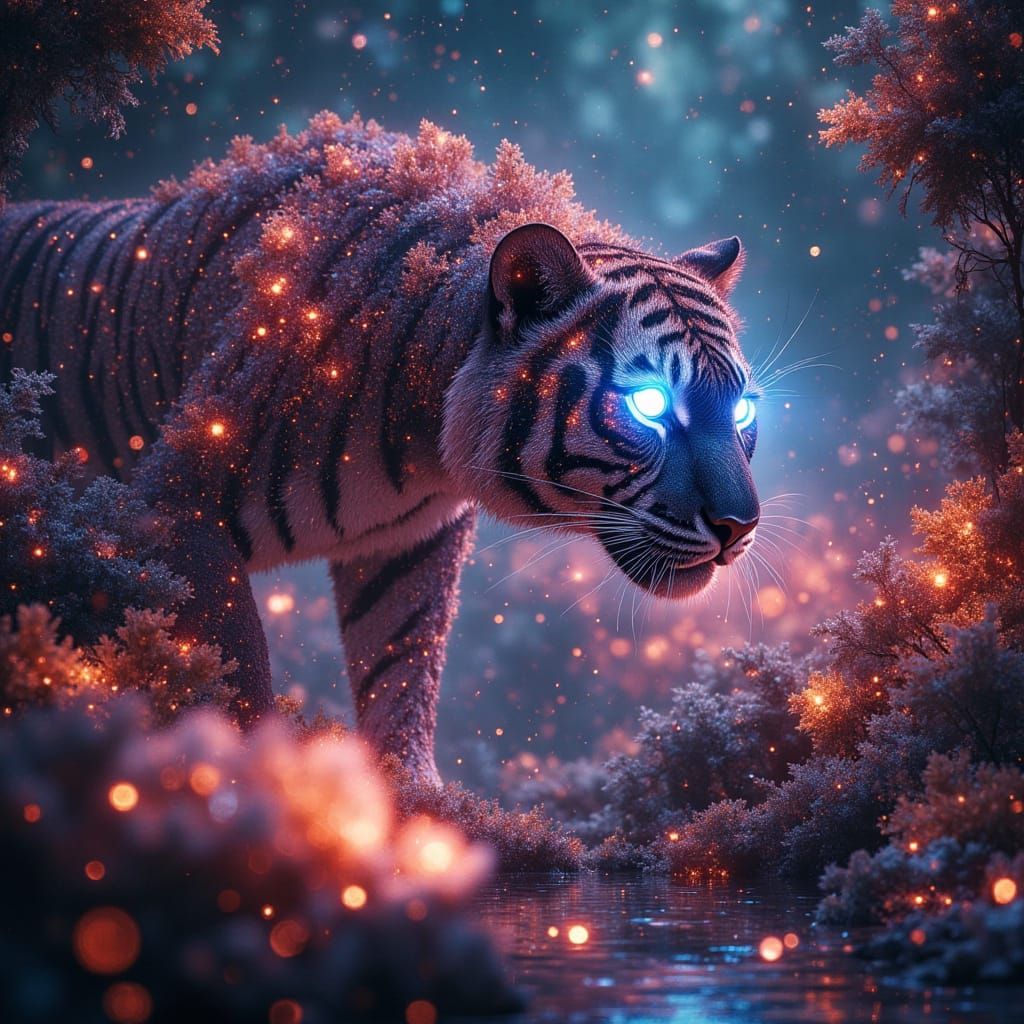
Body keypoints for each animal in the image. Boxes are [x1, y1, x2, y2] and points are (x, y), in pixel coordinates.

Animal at [0, 113, 760, 783]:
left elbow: (401, 667)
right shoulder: (179, 507)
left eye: (743, 408)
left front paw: (412, 792)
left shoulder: (408, 546)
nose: (739, 526)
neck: (424, 436)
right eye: (649, 406)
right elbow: (235, 660)